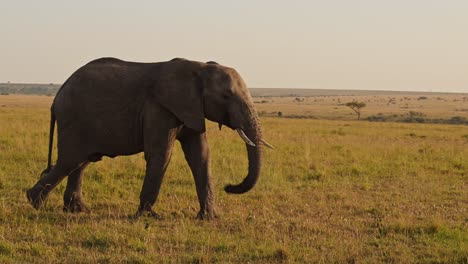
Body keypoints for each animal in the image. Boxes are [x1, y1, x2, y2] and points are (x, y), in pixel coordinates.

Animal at [25, 57, 272, 219]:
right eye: (227, 96)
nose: (229, 187)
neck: (200, 67)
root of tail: (57, 96)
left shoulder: (191, 108)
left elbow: (200, 156)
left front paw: (209, 218)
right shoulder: (159, 107)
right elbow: (162, 154)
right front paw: (149, 216)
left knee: (81, 162)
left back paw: (77, 210)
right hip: (73, 119)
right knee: (70, 160)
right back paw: (34, 203)